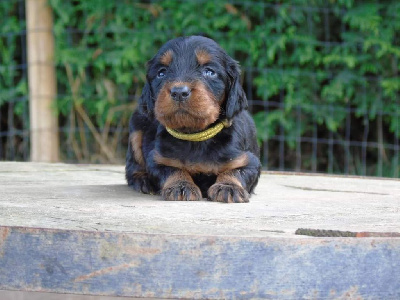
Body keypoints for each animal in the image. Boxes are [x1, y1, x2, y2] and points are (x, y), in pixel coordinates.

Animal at [126, 35, 260, 204]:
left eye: (209, 72)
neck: (195, 137)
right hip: (136, 127)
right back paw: (142, 180)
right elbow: (172, 169)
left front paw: (229, 186)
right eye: (161, 73)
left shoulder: (248, 160)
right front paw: (181, 185)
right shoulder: (158, 158)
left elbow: (237, 171)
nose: (179, 92)